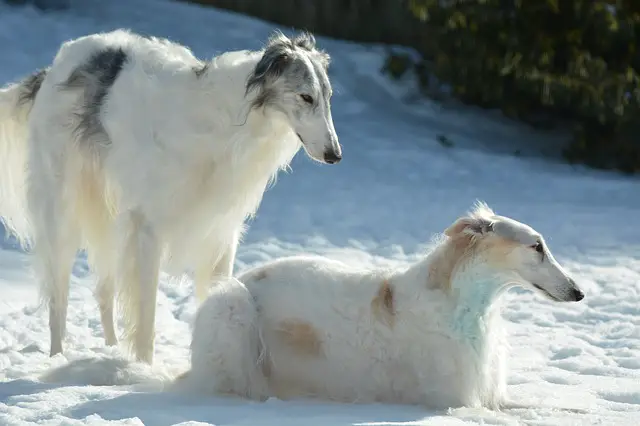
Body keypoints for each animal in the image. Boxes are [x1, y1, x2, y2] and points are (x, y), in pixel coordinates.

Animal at [0, 29, 340, 362]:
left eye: (328, 97)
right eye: (305, 96)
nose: (335, 155)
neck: (228, 124)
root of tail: (54, 66)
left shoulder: (220, 232)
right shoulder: (147, 228)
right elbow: (145, 317)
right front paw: (145, 369)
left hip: (108, 217)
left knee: (103, 292)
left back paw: (110, 350)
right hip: (62, 210)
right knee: (58, 297)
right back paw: (57, 357)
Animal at [180, 203, 584, 410]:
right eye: (536, 246)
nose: (578, 292)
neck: (463, 305)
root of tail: (247, 277)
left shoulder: (492, 393)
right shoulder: (455, 400)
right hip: (232, 309)